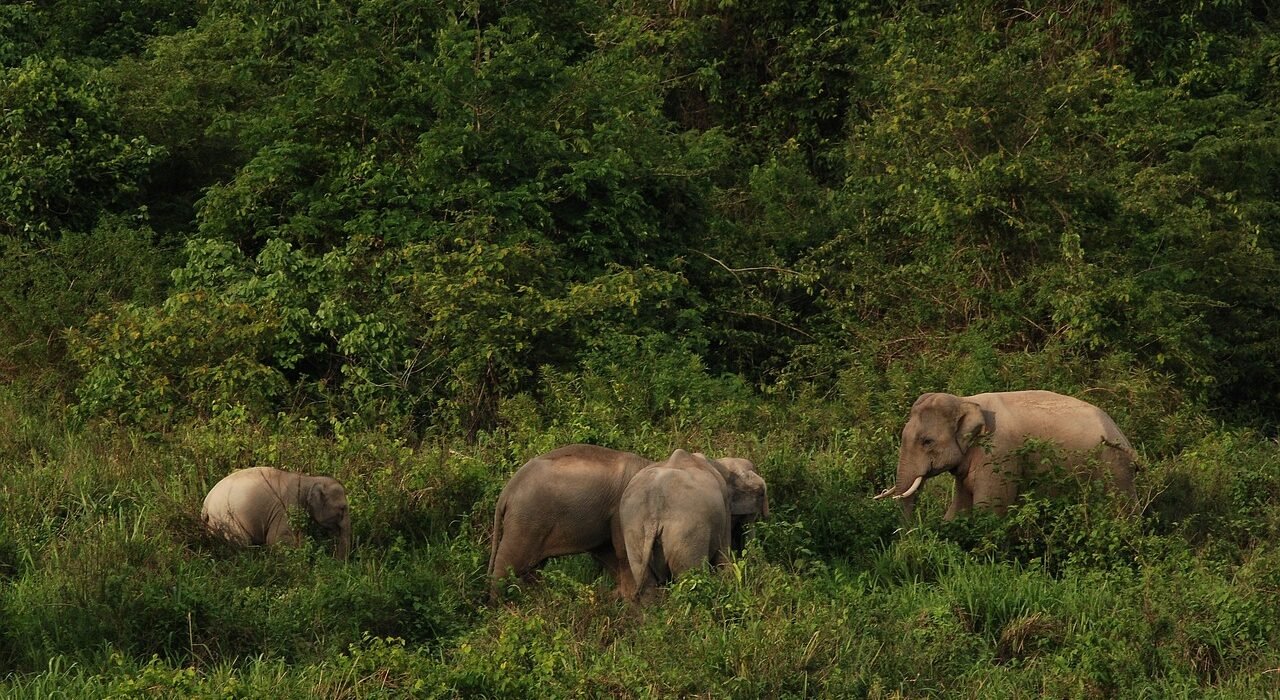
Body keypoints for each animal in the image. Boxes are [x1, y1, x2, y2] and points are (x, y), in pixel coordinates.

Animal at [201, 467, 351, 560]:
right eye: (343, 508)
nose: (337, 560)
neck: (309, 480)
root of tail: (206, 504)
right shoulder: (288, 505)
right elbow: (275, 539)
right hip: (226, 519)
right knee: (242, 543)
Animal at [620, 450, 768, 601]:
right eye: (761, 494)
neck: (720, 463)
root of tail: (654, 516)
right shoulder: (724, 506)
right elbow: (723, 552)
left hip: (634, 531)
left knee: (646, 583)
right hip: (687, 536)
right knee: (690, 579)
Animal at [874, 390, 1136, 520]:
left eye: (927, 442)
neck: (966, 401)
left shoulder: (999, 453)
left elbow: (990, 509)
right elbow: (960, 507)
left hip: (1115, 467)